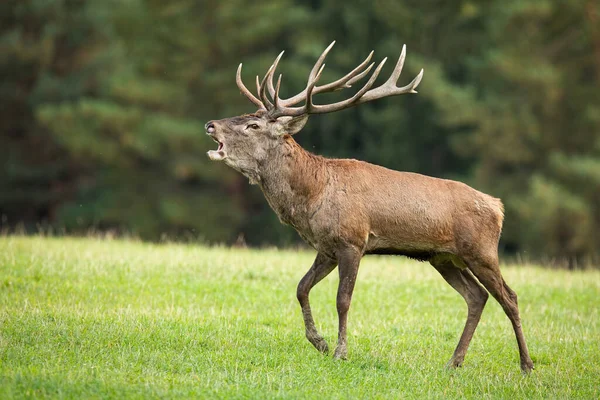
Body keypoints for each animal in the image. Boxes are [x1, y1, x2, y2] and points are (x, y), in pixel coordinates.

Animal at [205, 42, 536, 374]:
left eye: (253, 125)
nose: (210, 125)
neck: (312, 196)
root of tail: (498, 207)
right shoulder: (327, 247)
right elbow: (301, 287)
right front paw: (319, 342)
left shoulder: (353, 240)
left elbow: (343, 299)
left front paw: (340, 352)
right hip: (444, 257)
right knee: (477, 296)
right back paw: (454, 361)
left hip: (481, 250)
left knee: (509, 297)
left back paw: (526, 364)